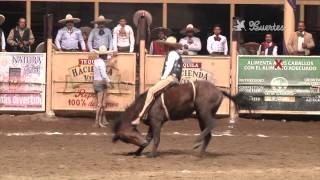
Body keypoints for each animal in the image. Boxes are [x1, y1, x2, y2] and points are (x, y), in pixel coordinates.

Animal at [111, 80, 251, 158]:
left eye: (128, 136)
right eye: (126, 140)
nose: (142, 143)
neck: (146, 103)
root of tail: (219, 90)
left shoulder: (157, 122)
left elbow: (156, 138)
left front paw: (152, 154)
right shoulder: (152, 123)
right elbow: (149, 138)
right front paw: (136, 152)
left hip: (203, 111)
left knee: (212, 124)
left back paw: (196, 142)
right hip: (201, 116)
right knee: (208, 134)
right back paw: (200, 154)